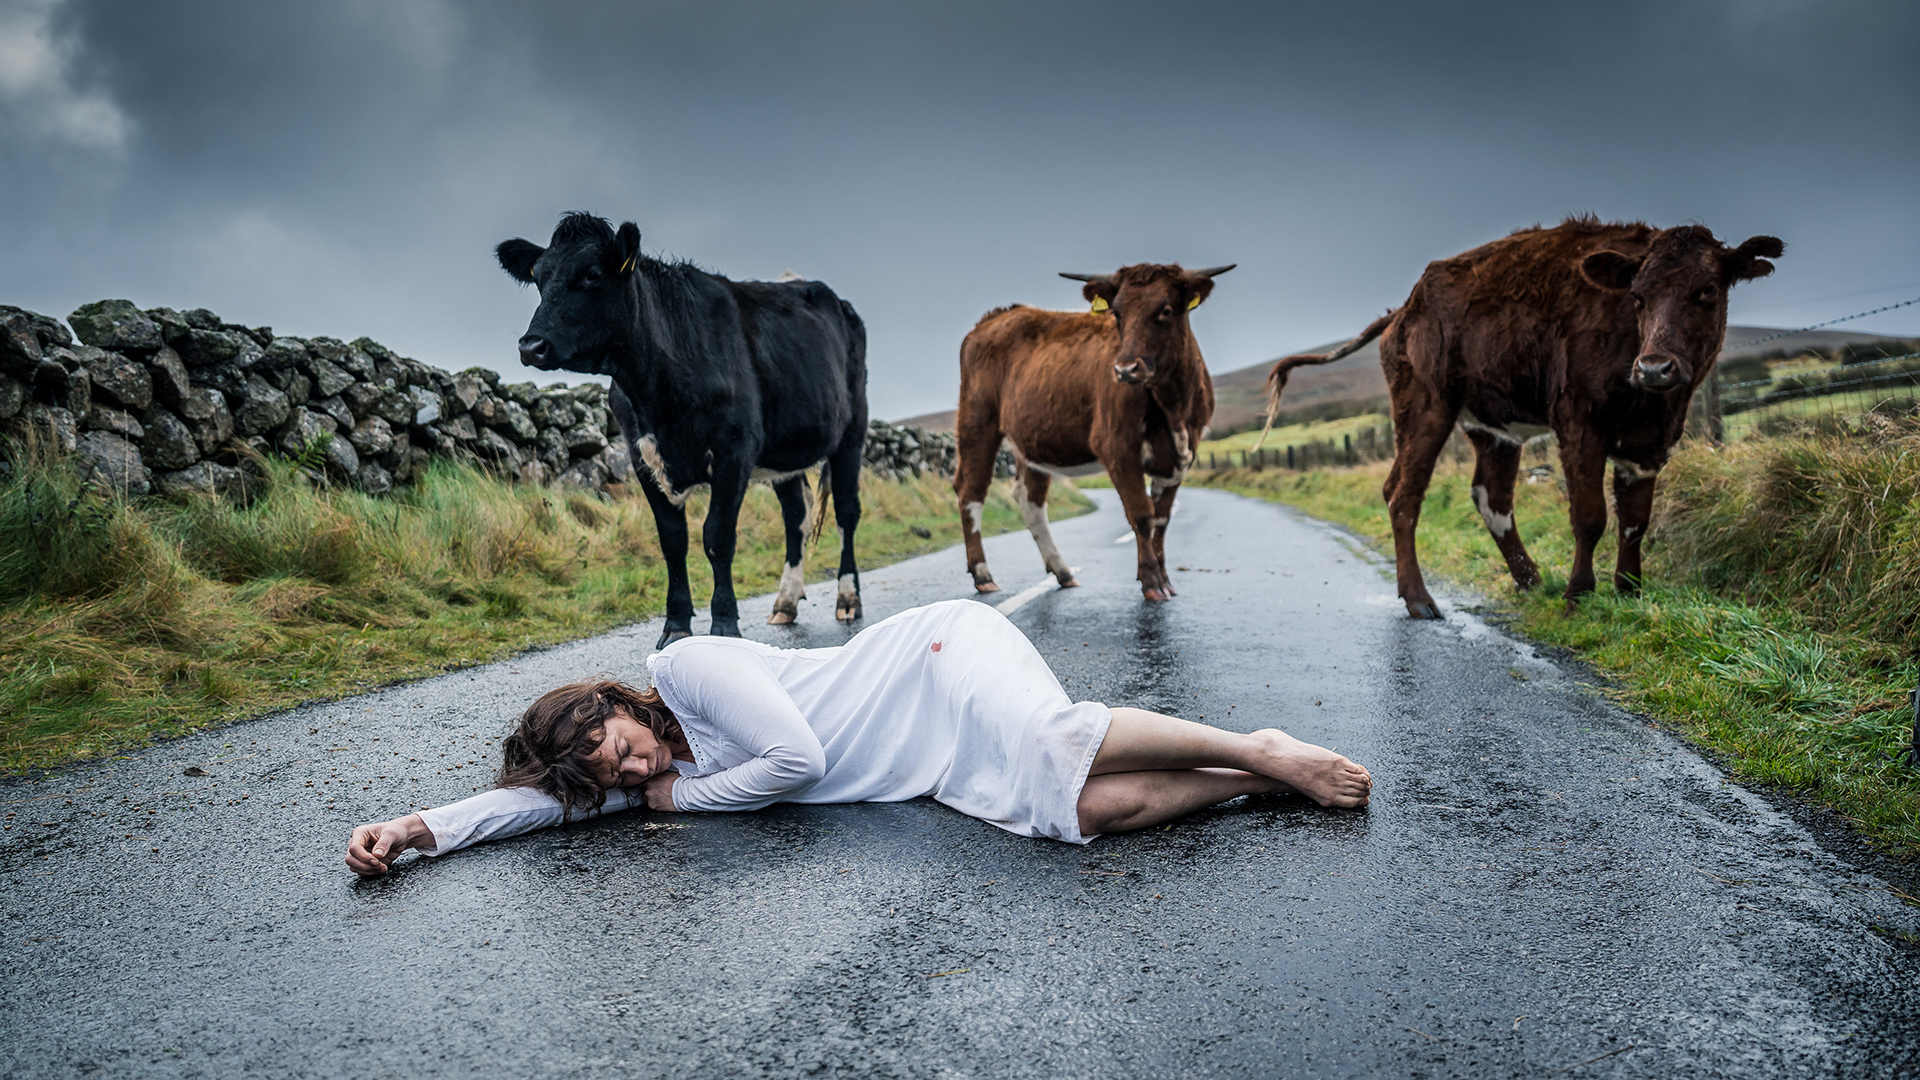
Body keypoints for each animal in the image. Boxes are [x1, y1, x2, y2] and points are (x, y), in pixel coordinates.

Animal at [495, 214, 871, 641]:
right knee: (797, 518)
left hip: (852, 430)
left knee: (846, 512)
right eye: (539, 278)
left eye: (592, 274)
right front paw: (675, 626)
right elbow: (673, 542)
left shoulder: (733, 452)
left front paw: (724, 625)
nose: (531, 346)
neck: (657, 392)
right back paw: (786, 602)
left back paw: (848, 599)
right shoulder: (643, 457)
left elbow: (717, 538)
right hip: (785, 453)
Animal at [956, 261, 1236, 595]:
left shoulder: (1182, 454)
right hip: (977, 423)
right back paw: (982, 574)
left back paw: (1062, 571)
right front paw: (1152, 582)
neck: (1173, 405)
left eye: (1166, 310)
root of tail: (998, 315)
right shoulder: (1117, 447)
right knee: (971, 494)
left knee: (1030, 499)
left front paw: (1165, 579)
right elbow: (1142, 515)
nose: (1125, 369)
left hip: (1032, 441)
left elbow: (1162, 519)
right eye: (1117, 313)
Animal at [1259, 215, 1781, 618]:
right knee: (1403, 494)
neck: (1650, 401)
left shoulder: (1650, 442)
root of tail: (1403, 310)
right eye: (1638, 296)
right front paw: (1578, 595)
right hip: (1425, 407)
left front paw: (1629, 592)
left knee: (1491, 496)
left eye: (1708, 289)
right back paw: (1420, 599)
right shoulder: (1579, 425)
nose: (1654, 367)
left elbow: (1635, 520)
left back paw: (1529, 578)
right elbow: (1590, 515)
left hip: (1490, 427)